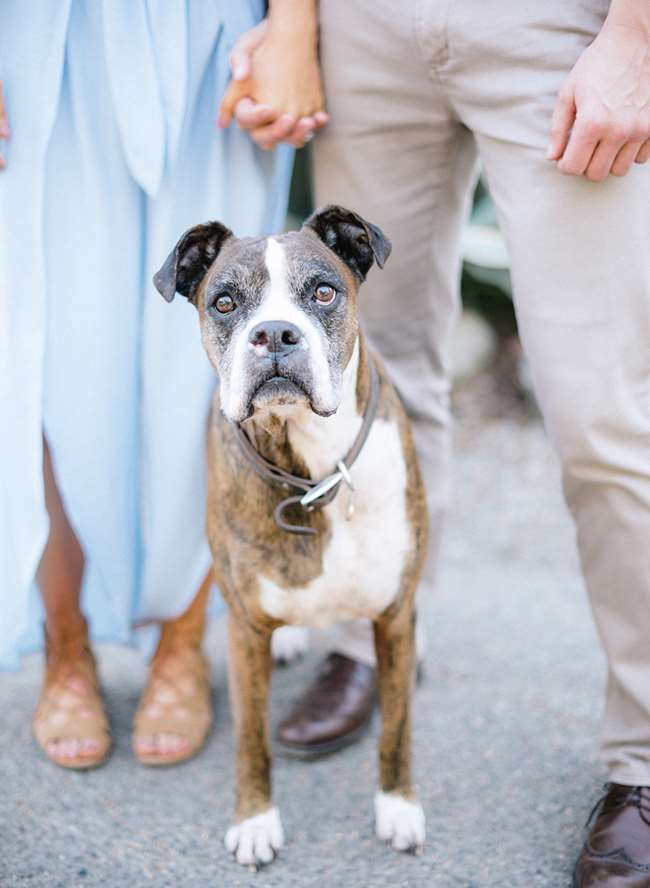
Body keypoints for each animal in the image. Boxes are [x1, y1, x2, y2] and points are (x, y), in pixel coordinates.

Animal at [152, 203, 426, 868]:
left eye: (323, 292)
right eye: (225, 302)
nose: (275, 334)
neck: (311, 470)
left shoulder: (394, 616)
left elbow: (397, 727)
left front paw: (399, 807)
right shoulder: (245, 631)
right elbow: (252, 740)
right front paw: (254, 822)